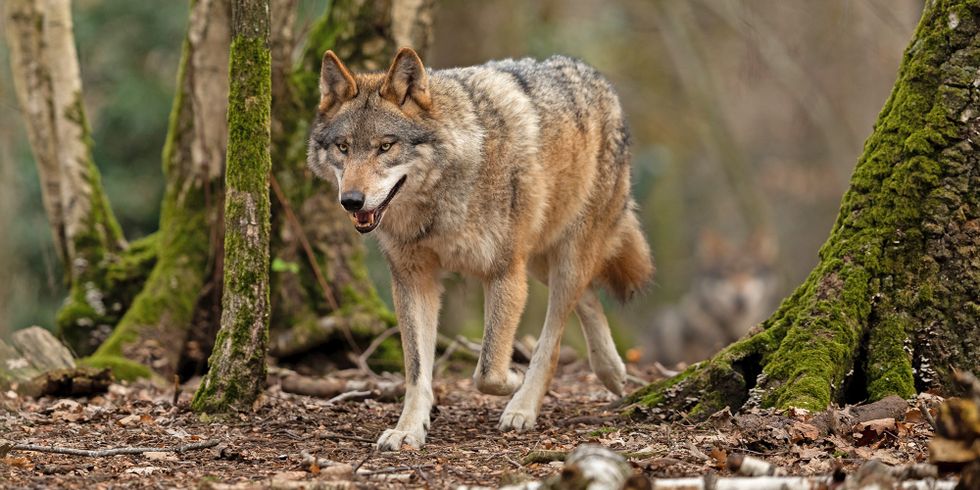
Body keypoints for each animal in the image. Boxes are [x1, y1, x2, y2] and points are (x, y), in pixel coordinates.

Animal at [307, 47, 654, 451]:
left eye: (385, 146)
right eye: (343, 147)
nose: (351, 201)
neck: (438, 203)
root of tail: (594, 76)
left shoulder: (504, 272)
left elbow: (487, 370)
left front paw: (514, 379)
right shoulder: (413, 280)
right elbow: (417, 371)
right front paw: (408, 430)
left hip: (560, 257)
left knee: (553, 336)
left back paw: (524, 406)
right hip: (538, 259)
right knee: (585, 298)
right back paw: (611, 371)